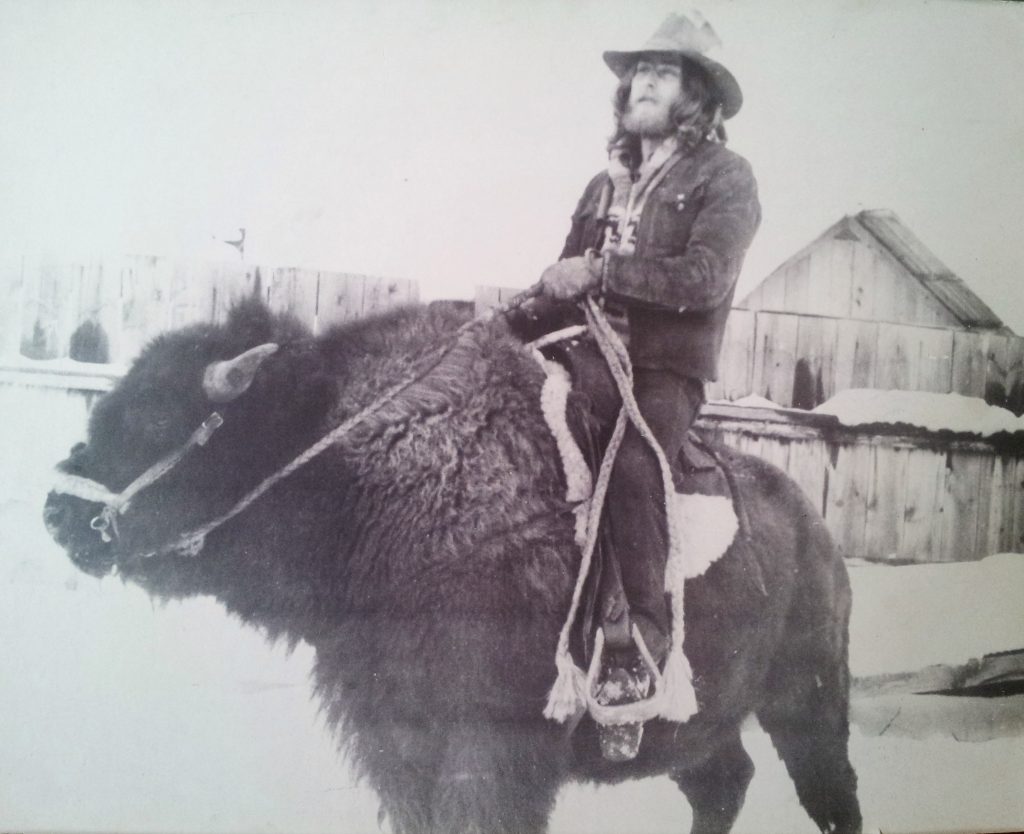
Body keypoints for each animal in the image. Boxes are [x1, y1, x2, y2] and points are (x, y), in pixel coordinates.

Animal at [46, 301, 864, 834]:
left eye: (155, 416)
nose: (56, 511)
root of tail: (819, 535)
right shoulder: (393, 739)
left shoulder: (487, 749)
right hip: (701, 719)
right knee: (722, 783)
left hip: (807, 700)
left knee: (831, 795)